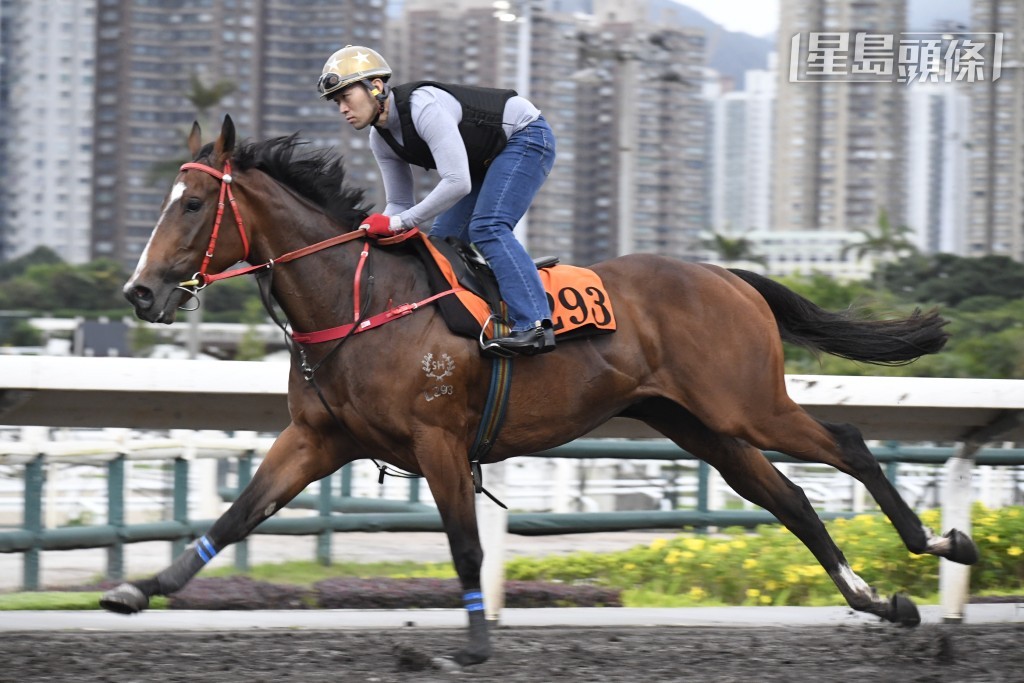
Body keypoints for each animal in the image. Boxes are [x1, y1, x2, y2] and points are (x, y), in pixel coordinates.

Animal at [103, 115, 978, 667]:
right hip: (700, 426)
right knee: (791, 499)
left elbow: (464, 544)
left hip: (747, 403)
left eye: (191, 203)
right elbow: (236, 513)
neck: (360, 301)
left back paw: (942, 545)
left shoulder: (439, 442)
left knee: (848, 445)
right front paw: (141, 589)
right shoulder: (316, 440)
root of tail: (727, 274)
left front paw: (474, 645)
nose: (140, 293)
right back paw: (880, 599)